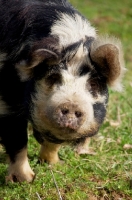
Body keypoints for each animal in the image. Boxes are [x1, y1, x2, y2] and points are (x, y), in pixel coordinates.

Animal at [0, 0, 125, 182]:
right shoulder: (7, 100)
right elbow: (17, 139)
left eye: (93, 84)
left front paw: (54, 164)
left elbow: (53, 144)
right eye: (53, 77)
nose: (72, 104)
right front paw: (26, 180)